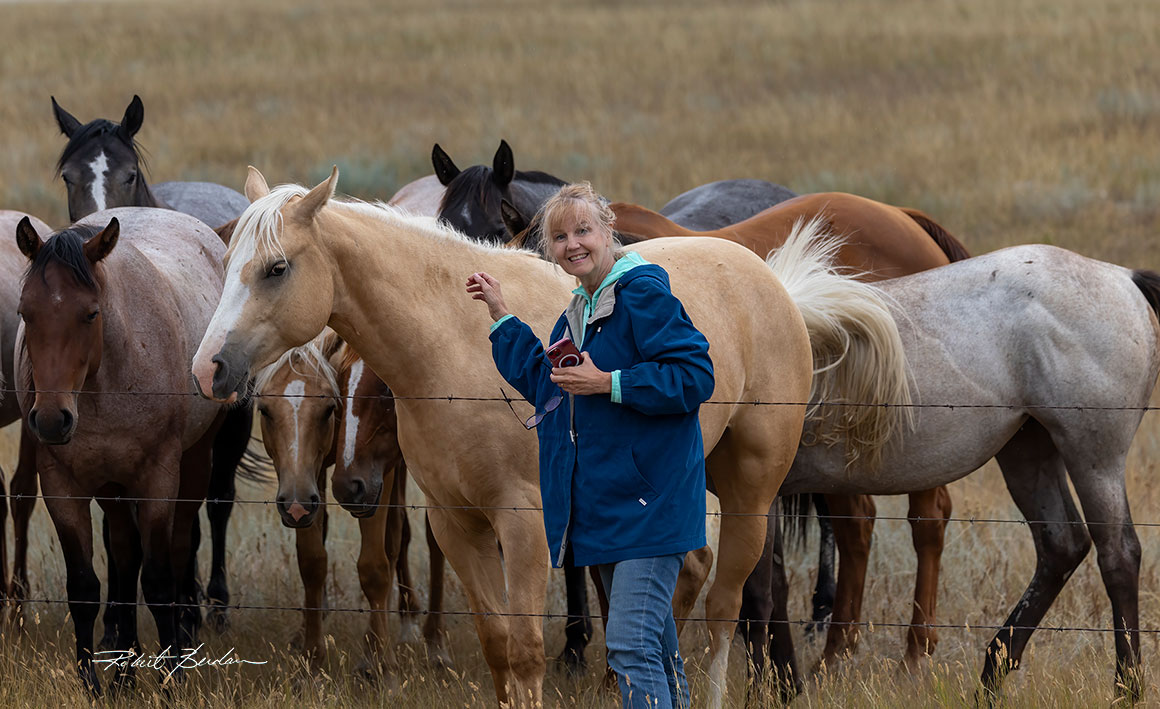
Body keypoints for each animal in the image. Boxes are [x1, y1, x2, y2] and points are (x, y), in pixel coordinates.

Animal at [14, 208, 226, 694]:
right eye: (25, 312)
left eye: (91, 314)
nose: (51, 420)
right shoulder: (61, 486)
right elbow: (85, 587)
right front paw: (92, 683)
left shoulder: (158, 478)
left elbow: (161, 581)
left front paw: (171, 681)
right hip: (111, 487)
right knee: (125, 559)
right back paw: (125, 675)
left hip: (195, 463)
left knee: (177, 551)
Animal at [51, 93, 257, 636]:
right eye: (69, 177)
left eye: (128, 174)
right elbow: (115, 534)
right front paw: (114, 624)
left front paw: (186, 610)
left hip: (234, 423)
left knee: (218, 503)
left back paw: (213, 604)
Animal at [191, 166, 909, 707]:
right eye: (227, 262)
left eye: (277, 268)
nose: (208, 367)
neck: (454, 344)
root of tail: (772, 281)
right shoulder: (458, 522)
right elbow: (497, 645)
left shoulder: (525, 522)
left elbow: (528, 647)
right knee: (683, 582)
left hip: (750, 491)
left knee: (727, 603)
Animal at [777, 242, 1160, 703]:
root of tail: (1122, 277)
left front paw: (776, 683)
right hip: (1027, 453)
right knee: (1062, 546)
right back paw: (992, 673)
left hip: (1093, 458)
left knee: (1118, 554)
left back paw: (1126, 687)